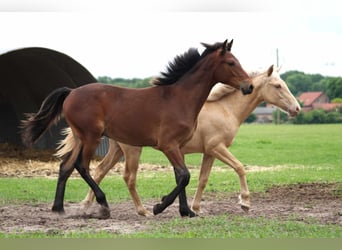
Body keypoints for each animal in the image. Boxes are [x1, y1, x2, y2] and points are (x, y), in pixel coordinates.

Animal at [20, 40, 254, 218]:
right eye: (231, 62)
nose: (249, 86)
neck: (178, 99)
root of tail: (71, 92)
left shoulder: (179, 146)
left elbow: (180, 176)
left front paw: (186, 211)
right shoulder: (168, 145)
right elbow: (185, 175)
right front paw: (159, 206)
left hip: (80, 138)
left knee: (65, 167)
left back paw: (58, 208)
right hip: (92, 137)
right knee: (82, 166)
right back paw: (103, 206)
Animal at [79, 64, 300, 217]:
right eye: (278, 85)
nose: (296, 108)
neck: (225, 110)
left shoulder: (209, 153)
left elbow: (202, 180)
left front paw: (195, 208)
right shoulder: (217, 148)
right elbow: (239, 167)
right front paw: (245, 203)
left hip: (117, 150)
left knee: (99, 171)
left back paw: (88, 205)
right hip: (133, 150)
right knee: (127, 177)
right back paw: (141, 210)